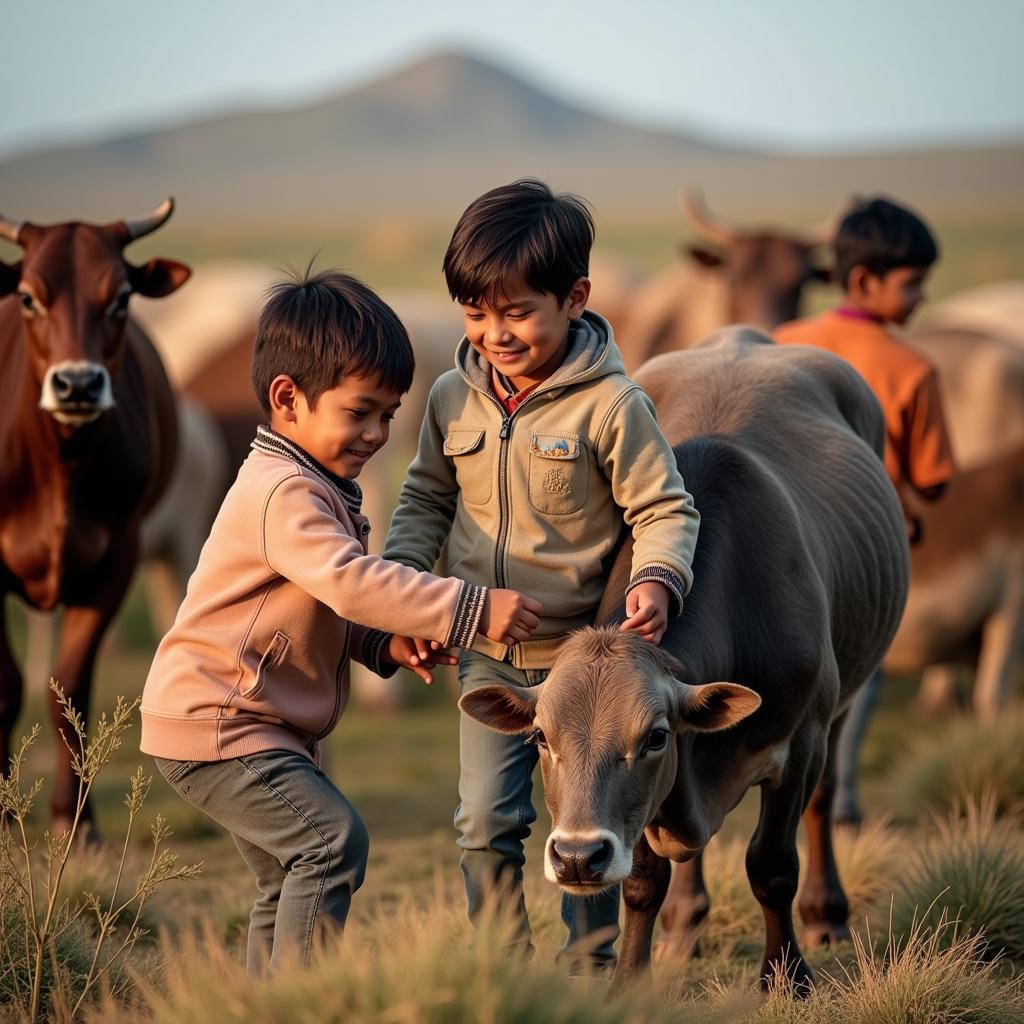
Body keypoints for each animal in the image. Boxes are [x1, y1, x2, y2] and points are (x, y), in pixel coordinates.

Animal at [0, 199, 190, 831]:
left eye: (121, 297)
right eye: (29, 297)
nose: (77, 384)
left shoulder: (115, 560)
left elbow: (70, 691)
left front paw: (75, 821)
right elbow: (6, 689)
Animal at [460, 331, 909, 987]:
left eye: (654, 737)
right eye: (541, 736)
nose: (576, 856)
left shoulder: (799, 740)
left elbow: (771, 864)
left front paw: (785, 977)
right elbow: (644, 880)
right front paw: (630, 979)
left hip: (844, 697)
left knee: (825, 799)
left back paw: (825, 915)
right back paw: (683, 928)